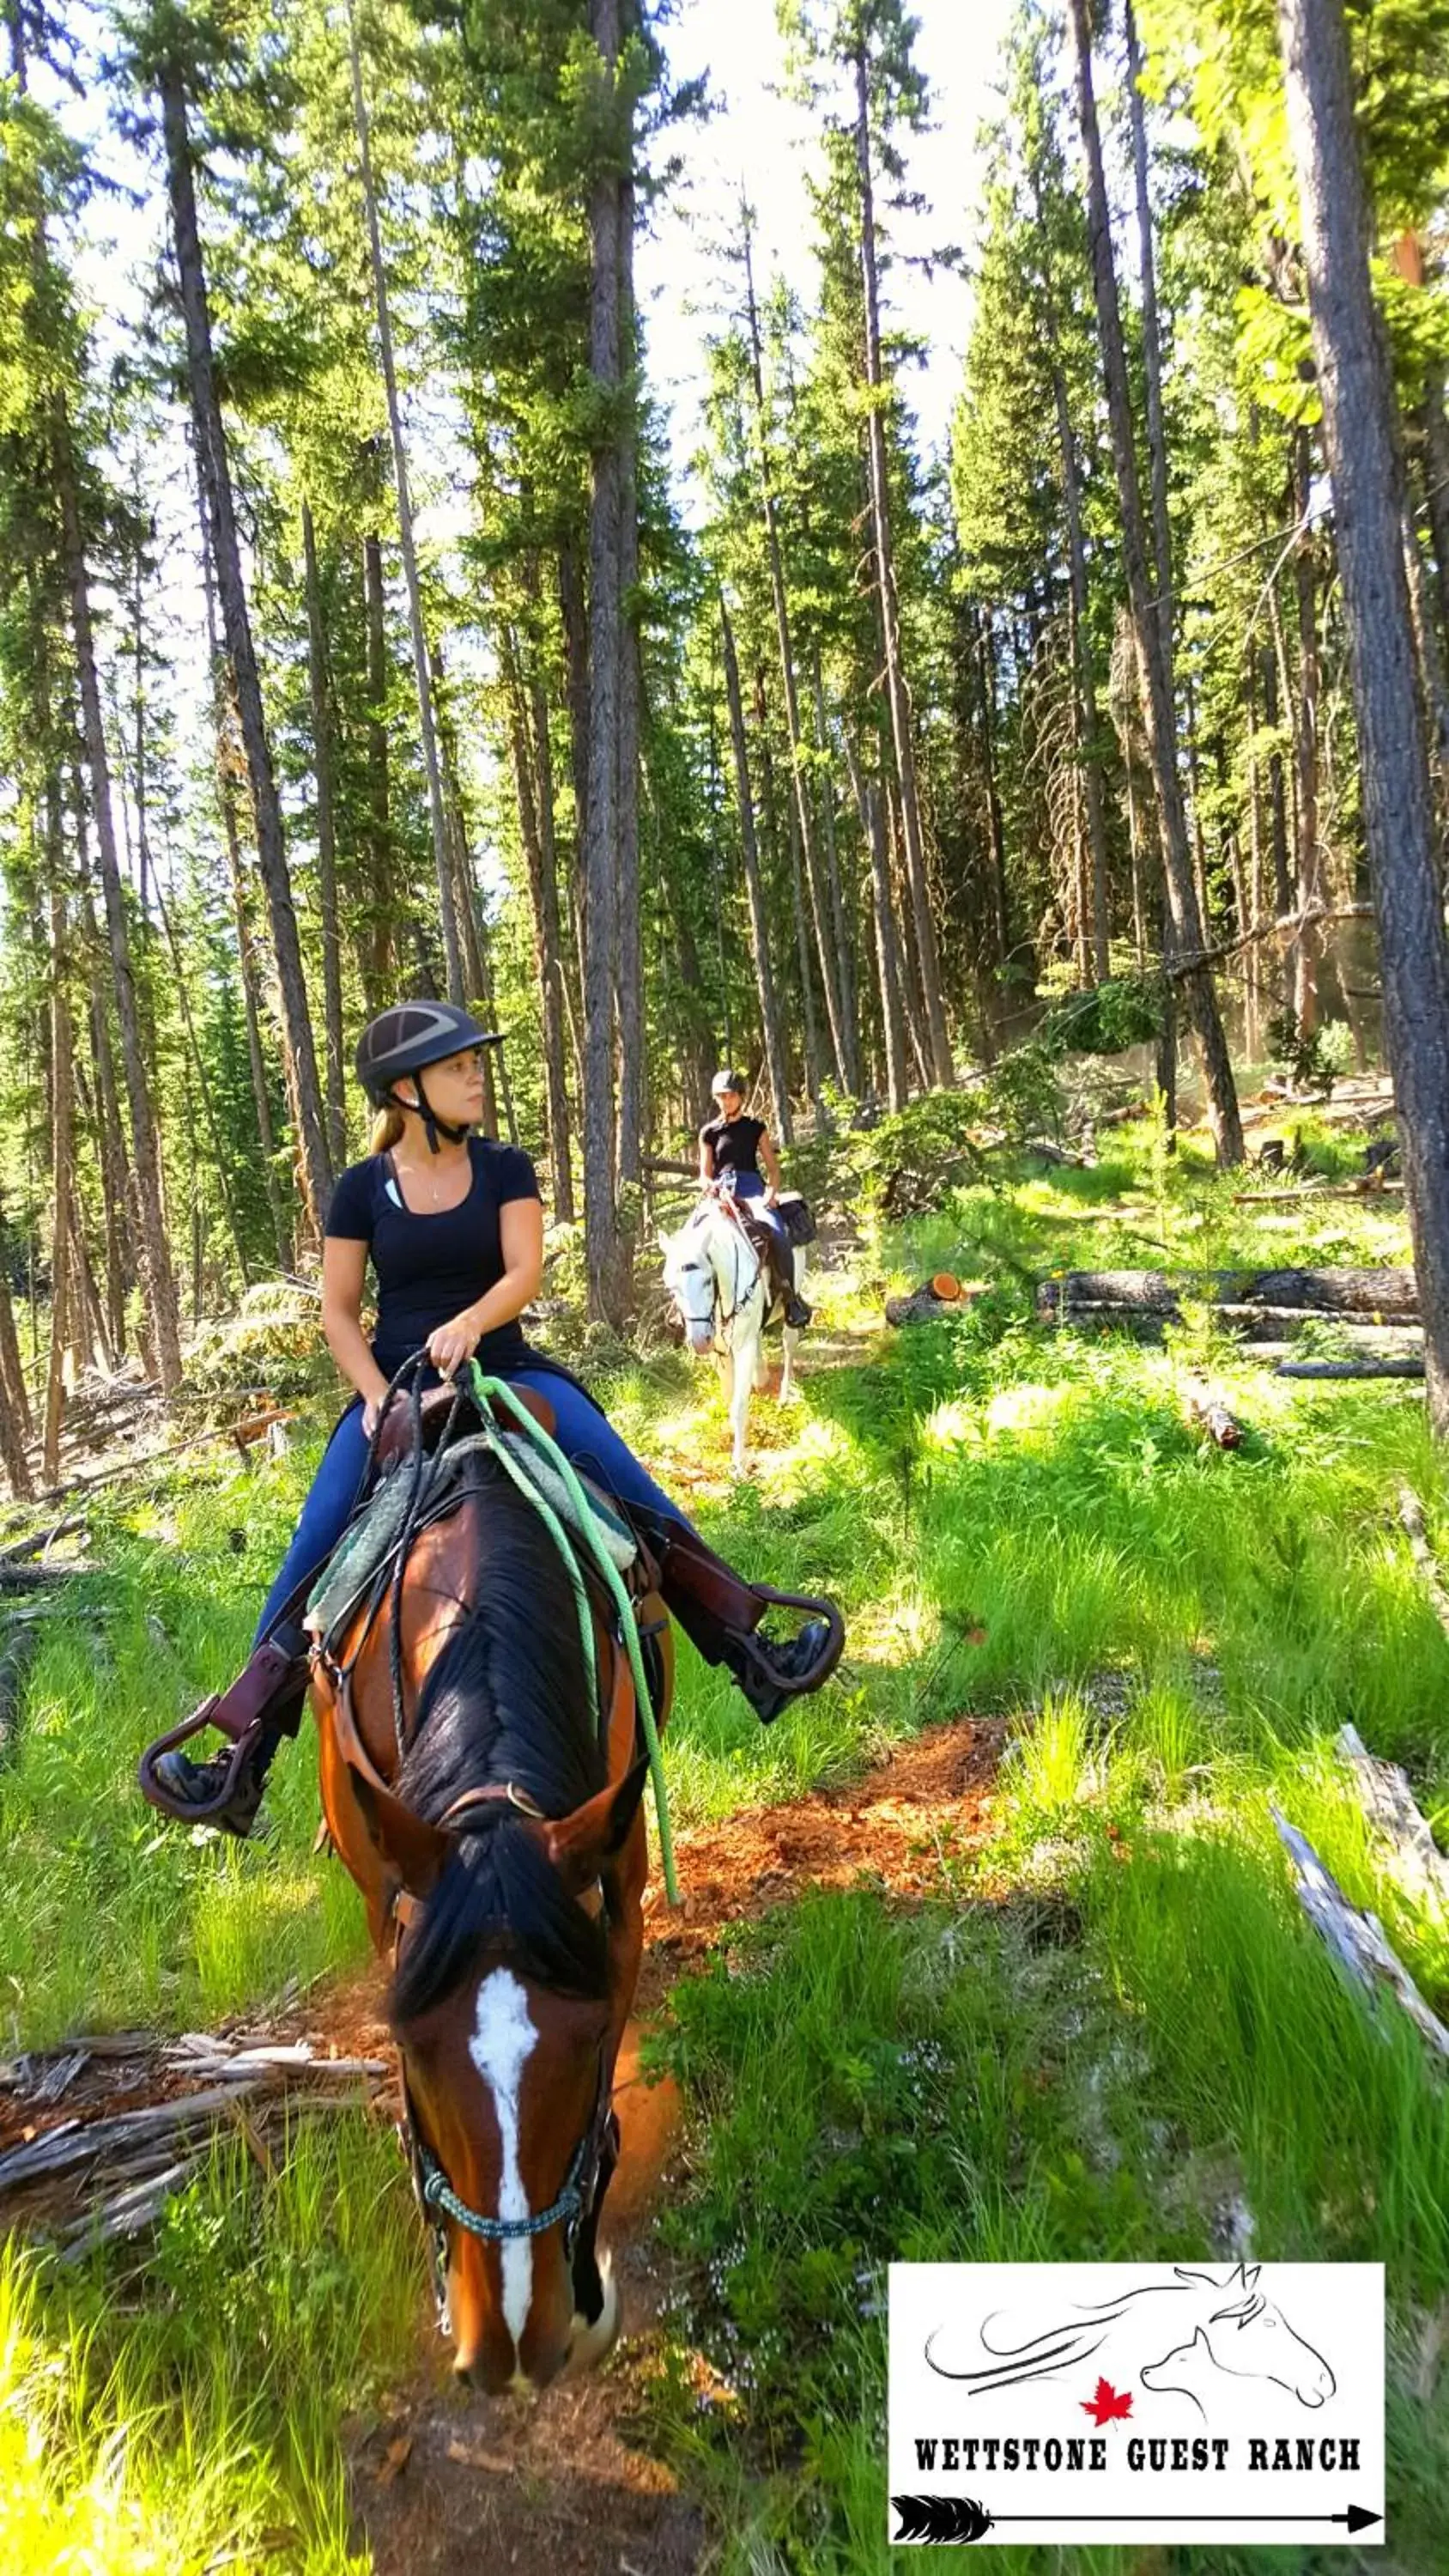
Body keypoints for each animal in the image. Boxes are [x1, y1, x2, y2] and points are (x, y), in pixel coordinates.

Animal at [310, 1432, 669, 2391]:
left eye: (594, 2033)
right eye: (405, 2044)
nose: (509, 2345)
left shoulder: (618, 1901)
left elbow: (597, 2131)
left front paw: (586, 2303)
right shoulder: (388, 1908)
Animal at [664, 1185, 813, 1473]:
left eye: (707, 1280)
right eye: (672, 1288)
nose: (699, 1342)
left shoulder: (741, 1347)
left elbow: (739, 1405)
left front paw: (739, 1464)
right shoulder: (719, 1352)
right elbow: (729, 1397)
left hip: (793, 1300)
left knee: (789, 1345)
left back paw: (784, 1394)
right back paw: (762, 1375)